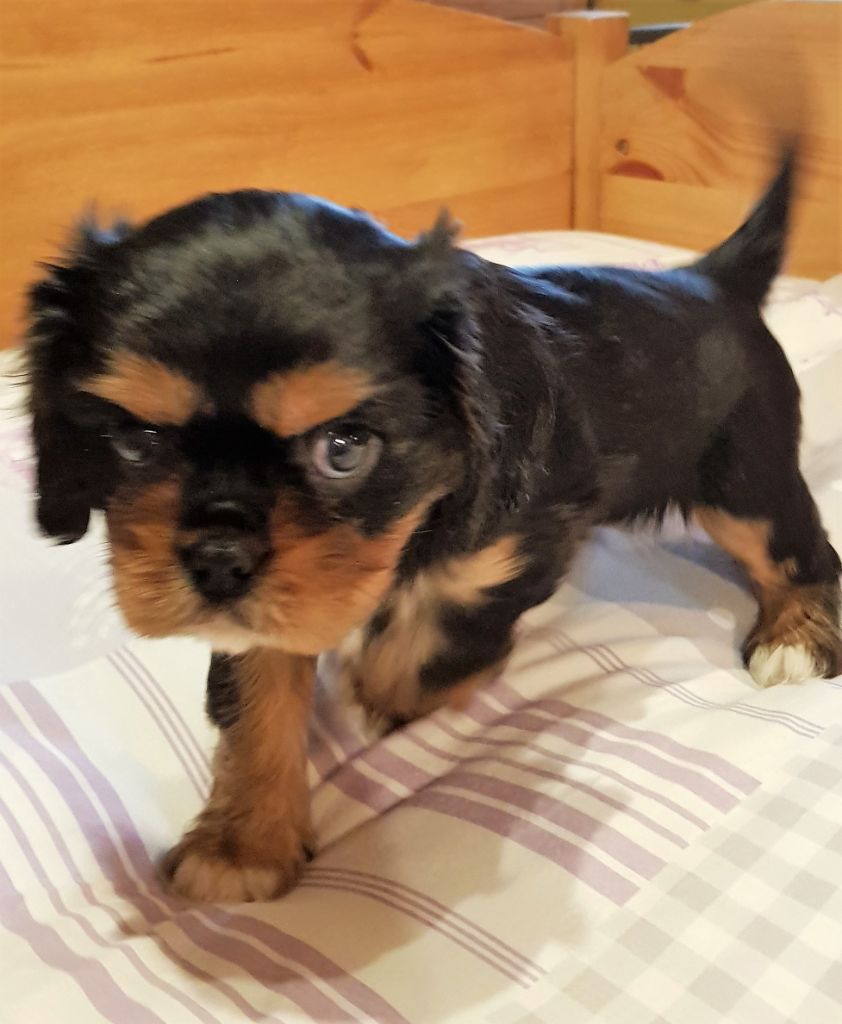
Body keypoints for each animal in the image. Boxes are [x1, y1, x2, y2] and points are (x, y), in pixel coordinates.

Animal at [25, 147, 842, 902]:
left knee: (799, 550)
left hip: (744, 480)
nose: (218, 556)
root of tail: (709, 278)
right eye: (134, 439)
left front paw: (378, 694)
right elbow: (259, 700)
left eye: (344, 448)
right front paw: (244, 846)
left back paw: (796, 640)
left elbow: (429, 645)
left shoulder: (515, 549)